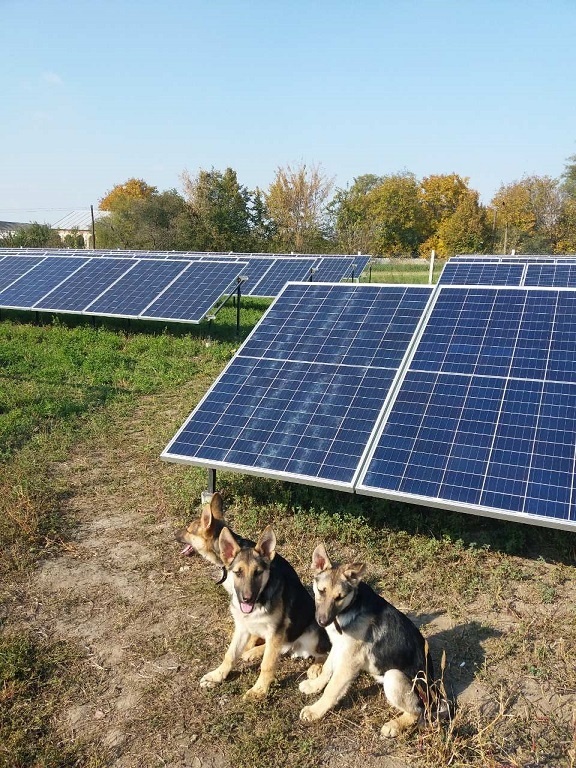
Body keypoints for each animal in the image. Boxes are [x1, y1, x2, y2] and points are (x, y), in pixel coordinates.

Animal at [201, 524, 328, 700]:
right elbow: (230, 654)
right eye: (238, 572)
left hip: (312, 634)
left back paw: (316, 667)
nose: (247, 599)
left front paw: (259, 690)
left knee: (326, 652)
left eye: (258, 573)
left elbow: (267, 664)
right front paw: (217, 676)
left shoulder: (276, 632)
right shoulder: (242, 628)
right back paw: (253, 652)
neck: (259, 602)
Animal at [300, 544, 434, 736]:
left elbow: (332, 689)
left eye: (339, 597)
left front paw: (315, 710)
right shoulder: (339, 646)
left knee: (417, 711)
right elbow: (326, 669)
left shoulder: (350, 661)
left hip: (394, 676)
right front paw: (314, 686)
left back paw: (394, 725)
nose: (322, 622)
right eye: (321, 591)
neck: (351, 606)